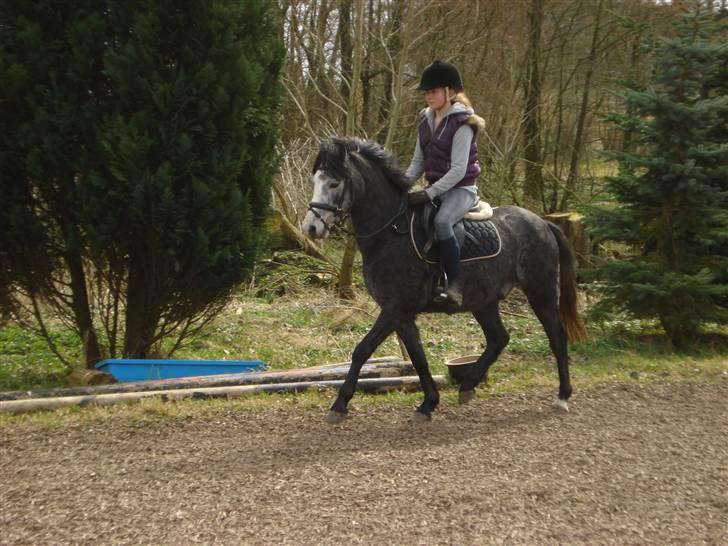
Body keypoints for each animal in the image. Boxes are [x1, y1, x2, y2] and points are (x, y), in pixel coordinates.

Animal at [303, 137, 586, 424]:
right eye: (315, 180)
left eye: (334, 183)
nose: (310, 228)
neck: (390, 232)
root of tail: (542, 222)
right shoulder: (401, 314)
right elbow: (418, 356)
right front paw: (428, 403)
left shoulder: (395, 308)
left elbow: (363, 349)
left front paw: (340, 404)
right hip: (484, 302)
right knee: (499, 338)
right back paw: (468, 385)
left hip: (541, 292)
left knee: (556, 338)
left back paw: (562, 396)